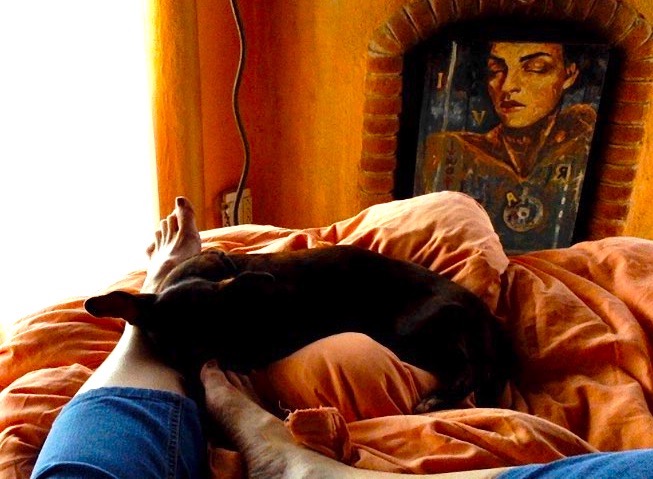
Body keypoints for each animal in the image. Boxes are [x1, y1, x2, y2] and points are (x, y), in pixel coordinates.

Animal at [85, 245, 512, 411]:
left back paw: (438, 399)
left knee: (475, 368)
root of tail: (487, 317)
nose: (197, 388)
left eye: (213, 342)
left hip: (409, 333)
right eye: (172, 352)